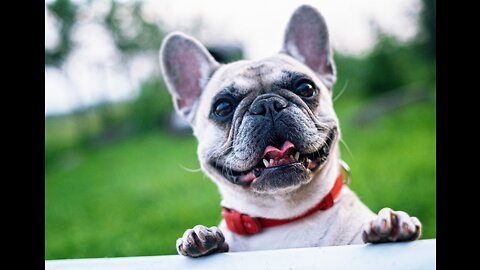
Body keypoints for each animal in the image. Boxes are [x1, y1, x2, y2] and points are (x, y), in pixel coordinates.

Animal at [158, 4, 420, 258]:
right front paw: (202, 237)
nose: (267, 104)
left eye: (306, 88)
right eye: (222, 107)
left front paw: (393, 225)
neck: (284, 217)